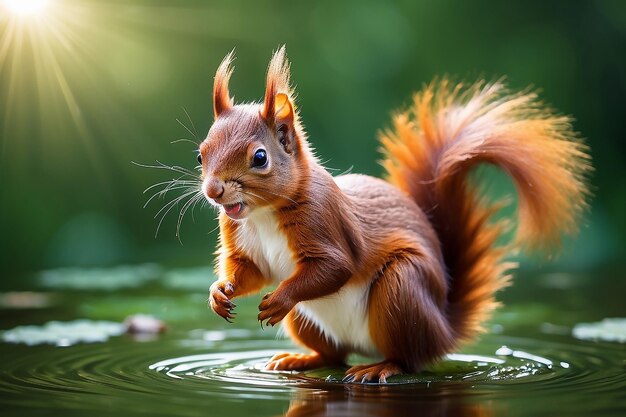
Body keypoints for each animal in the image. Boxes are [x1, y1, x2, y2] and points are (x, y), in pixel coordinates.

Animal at [202, 46, 588, 384]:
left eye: (260, 158)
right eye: (200, 154)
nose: (213, 191)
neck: (263, 214)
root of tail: (444, 329)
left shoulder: (323, 220)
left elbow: (335, 267)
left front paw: (279, 298)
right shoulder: (239, 234)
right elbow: (251, 270)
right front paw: (220, 292)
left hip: (402, 288)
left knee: (408, 359)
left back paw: (379, 368)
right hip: (309, 321)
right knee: (334, 356)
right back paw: (300, 359)